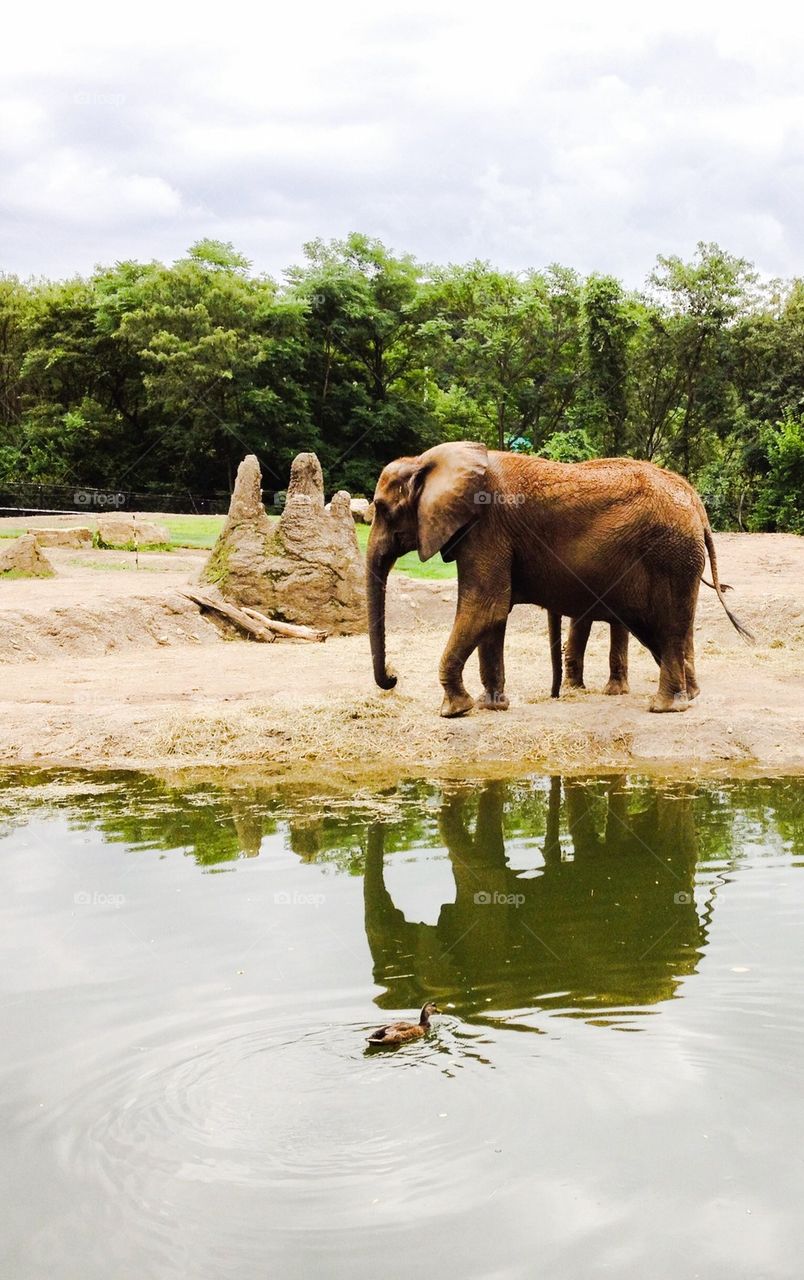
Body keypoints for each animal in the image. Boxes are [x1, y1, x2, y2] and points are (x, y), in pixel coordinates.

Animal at [366, 442, 751, 716]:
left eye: (382, 509)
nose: (394, 676)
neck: (427, 461)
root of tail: (697, 505)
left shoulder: (487, 530)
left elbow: (485, 608)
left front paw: (454, 711)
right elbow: (493, 615)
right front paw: (492, 706)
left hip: (670, 554)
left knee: (667, 627)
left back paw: (664, 707)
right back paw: (689, 696)